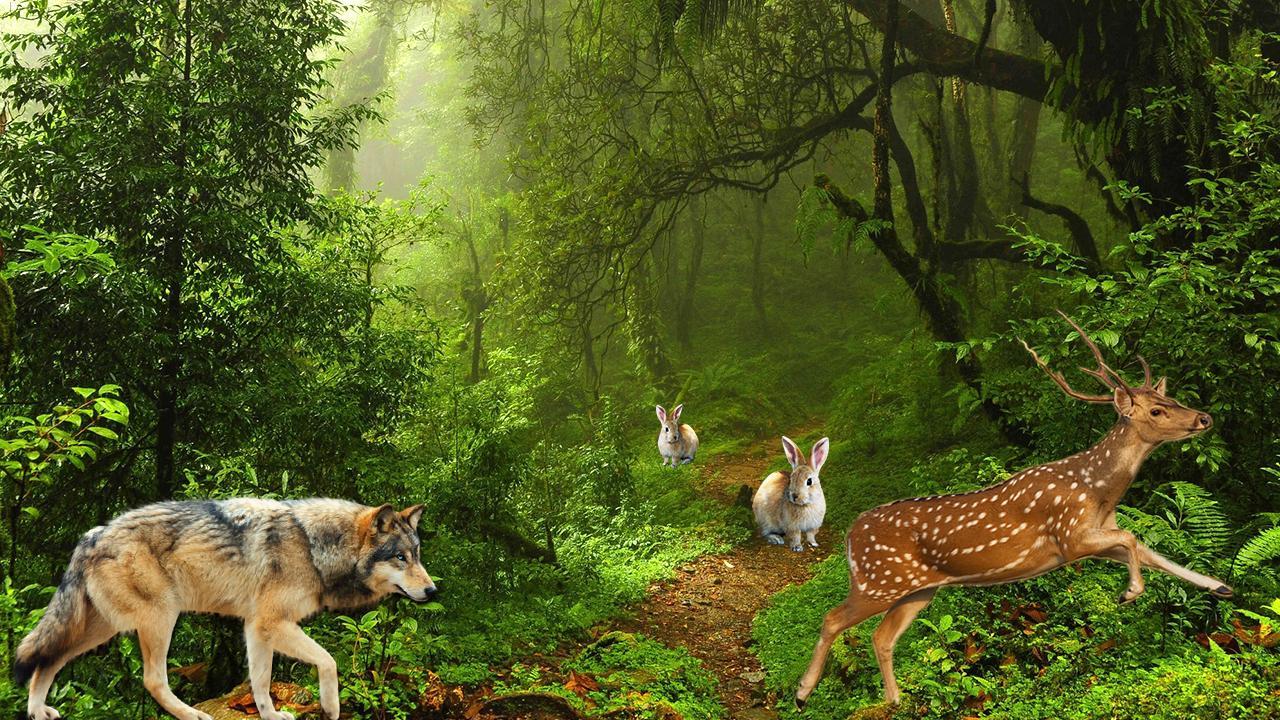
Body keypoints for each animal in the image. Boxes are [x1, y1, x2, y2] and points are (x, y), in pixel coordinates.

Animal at [14, 498, 437, 720]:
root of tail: (92, 534)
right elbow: (329, 661)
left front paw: (271, 716)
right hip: (160, 619)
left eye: (417, 555)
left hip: (98, 630)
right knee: (153, 680)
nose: (433, 590)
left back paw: (37, 711)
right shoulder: (272, 622)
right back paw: (192, 715)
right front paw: (331, 708)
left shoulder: (256, 628)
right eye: (400, 557)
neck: (315, 547)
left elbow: (261, 682)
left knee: (47, 660)